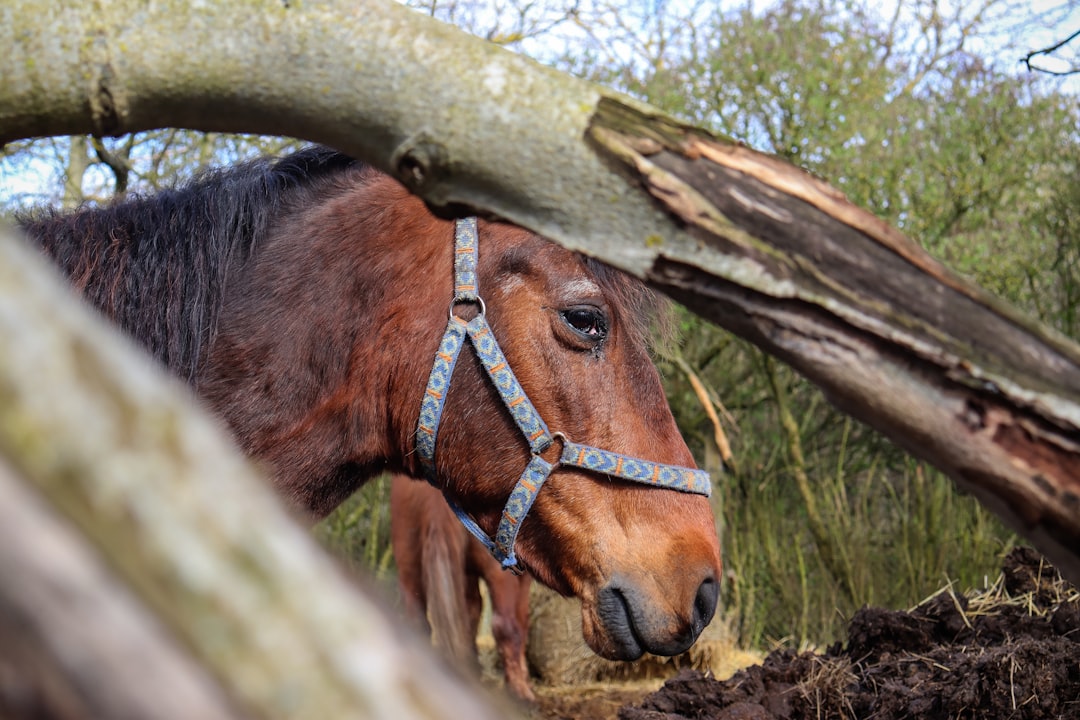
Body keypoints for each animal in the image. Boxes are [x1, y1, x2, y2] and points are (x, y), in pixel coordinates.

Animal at [393, 472, 535, 703]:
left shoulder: (466, 571)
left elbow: (470, 612)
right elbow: (521, 622)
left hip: (407, 558)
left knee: (418, 618)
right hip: (500, 571)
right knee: (504, 625)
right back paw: (520, 694)